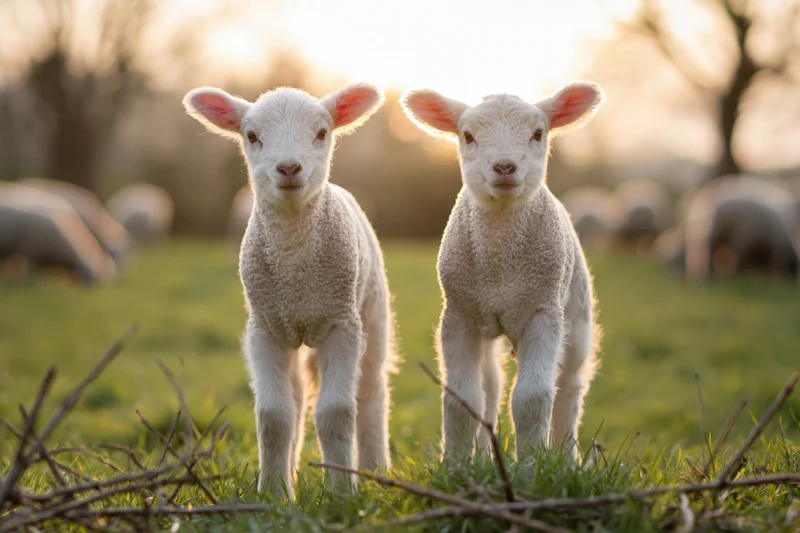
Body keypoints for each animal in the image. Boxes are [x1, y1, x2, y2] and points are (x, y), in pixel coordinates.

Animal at [183, 82, 396, 499]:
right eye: (251, 136)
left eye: (322, 132)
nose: (288, 168)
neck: (296, 273)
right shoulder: (264, 330)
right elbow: (274, 417)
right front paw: (274, 494)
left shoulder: (342, 325)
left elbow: (336, 412)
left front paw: (341, 493)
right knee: (296, 401)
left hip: (372, 313)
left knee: (371, 393)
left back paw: (375, 469)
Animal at [401, 81, 604, 463]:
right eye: (467, 135)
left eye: (538, 133)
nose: (505, 166)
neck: (501, 269)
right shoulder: (460, 315)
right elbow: (462, 399)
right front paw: (456, 467)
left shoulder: (543, 312)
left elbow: (533, 397)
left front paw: (531, 465)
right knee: (491, 387)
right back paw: (484, 456)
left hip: (576, 314)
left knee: (569, 387)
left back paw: (567, 459)